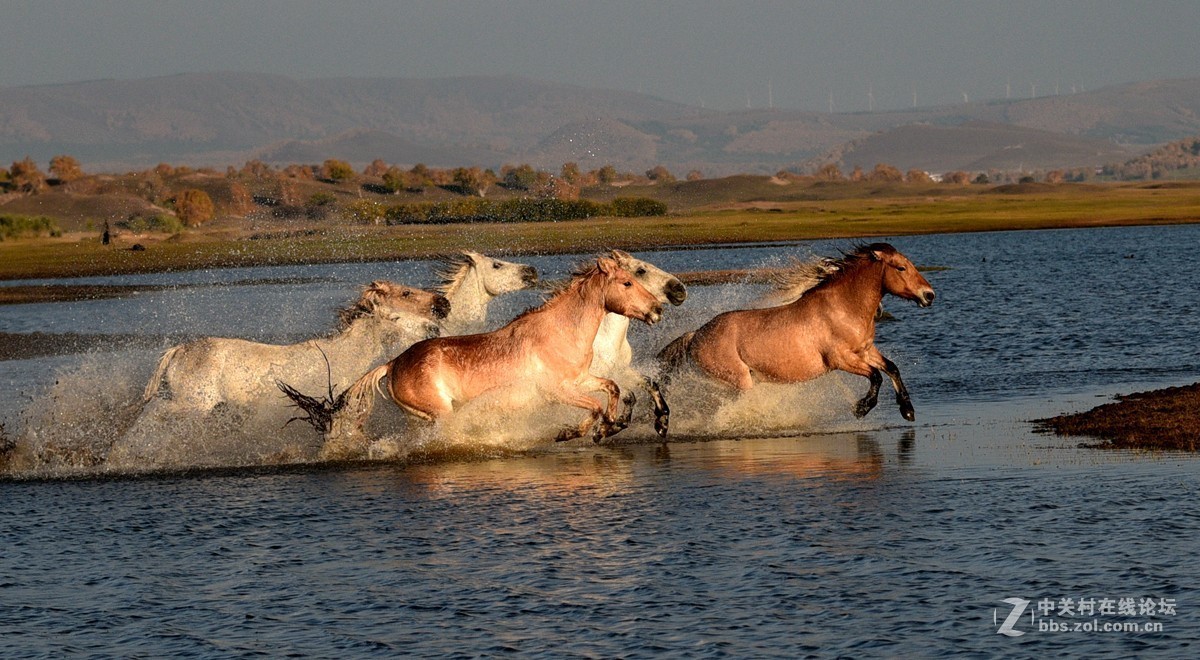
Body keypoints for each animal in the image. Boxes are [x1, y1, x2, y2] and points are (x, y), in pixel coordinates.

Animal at [291, 255, 667, 448]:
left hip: (418, 418)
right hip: (439, 414)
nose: (658, 309)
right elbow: (595, 407)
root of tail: (393, 362)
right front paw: (575, 432)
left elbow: (612, 389)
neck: (560, 331)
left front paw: (608, 428)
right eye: (627, 282)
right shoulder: (556, 391)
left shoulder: (581, 379)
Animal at [588, 250, 686, 436]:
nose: (680, 289)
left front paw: (661, 422)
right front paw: (604, 429)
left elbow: (646, 386)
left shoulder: (621, 370)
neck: (606, 340)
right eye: (641, 270)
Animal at [662, 244, 931, 434]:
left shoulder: (865, 351)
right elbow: (876, 376)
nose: (929, 295)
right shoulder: (841, 359)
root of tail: (695, 335)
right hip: (738, 380)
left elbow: (891, 368)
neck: (843, 308)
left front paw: (908, 411)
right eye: (901, 268)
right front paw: (860, 409)